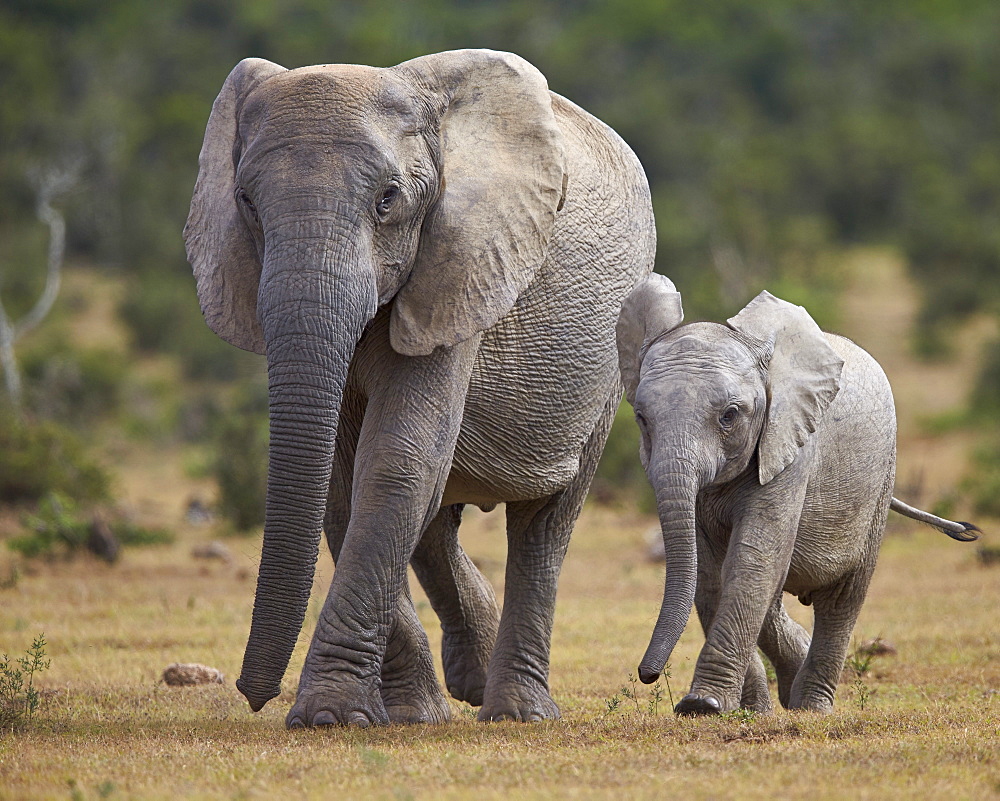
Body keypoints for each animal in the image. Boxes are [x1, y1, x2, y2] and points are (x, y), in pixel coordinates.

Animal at [185, 48, 656, 724]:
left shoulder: (464, 264)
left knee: (544, 523)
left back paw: (516, 711)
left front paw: (328, 718)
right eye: (246, 201)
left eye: (388, 200)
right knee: (438, 520)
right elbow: (345, 481)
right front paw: (399, 717)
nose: (254, 696)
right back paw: (469, 684)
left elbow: (396, 461)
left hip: (611, 351)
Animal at [616, 274, 976, 712]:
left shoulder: (791, 447)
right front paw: (742, 711)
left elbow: (751, 560)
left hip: (880, 482)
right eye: (641, 418)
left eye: (729, 415)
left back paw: (811, 706)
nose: (647, 674)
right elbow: (711, 572)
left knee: (841, 600)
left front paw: (703, 706)